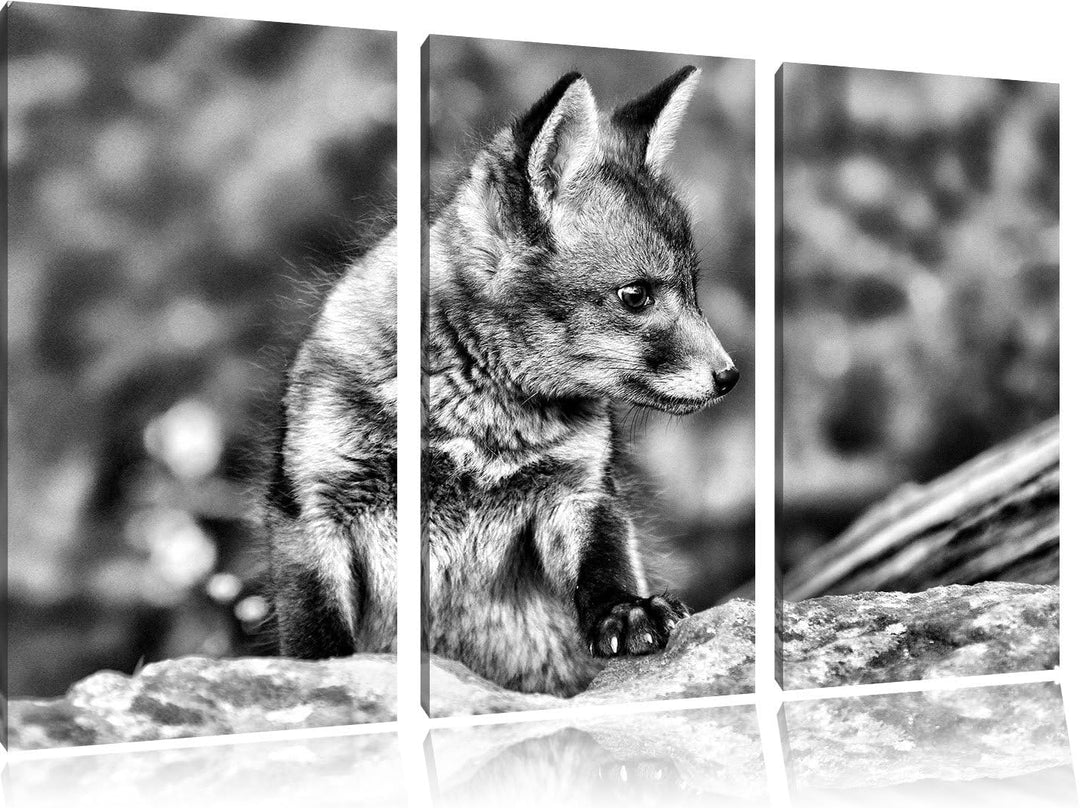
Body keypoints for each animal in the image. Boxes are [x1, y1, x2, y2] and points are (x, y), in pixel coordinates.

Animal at [267, 66, 739, 698]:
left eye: (692, 291)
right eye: (636, 295)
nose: (729, 376)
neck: (476, 427)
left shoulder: (580, 492)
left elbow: (604, 566)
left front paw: (625, 611)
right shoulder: (314, 511)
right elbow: (315, 638)